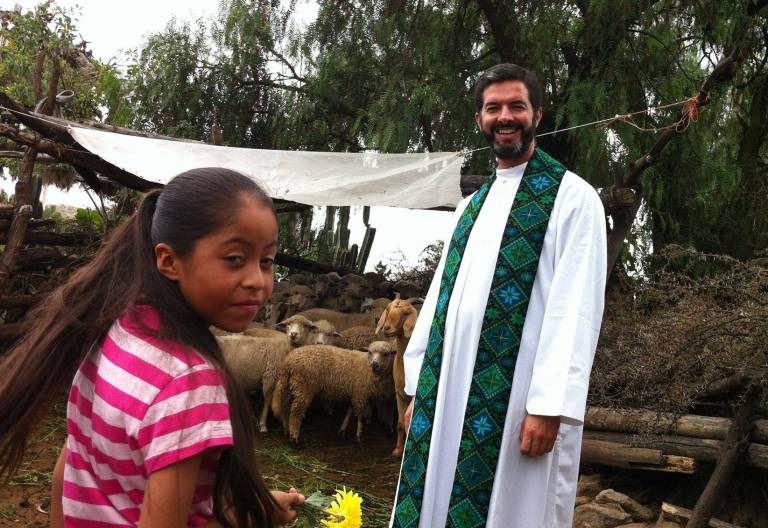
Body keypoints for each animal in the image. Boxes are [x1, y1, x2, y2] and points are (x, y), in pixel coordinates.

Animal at [376, 296, 420, 456]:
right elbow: (401, 423)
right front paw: (398, 450)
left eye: (406, 313)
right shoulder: (399, 394)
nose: (387, 328)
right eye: (388, 309)